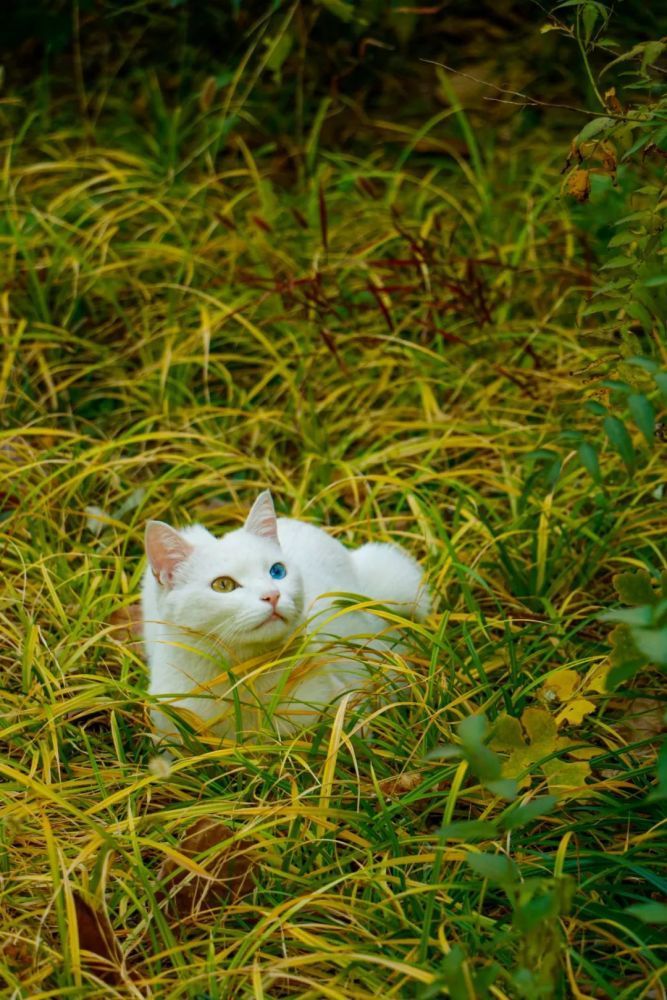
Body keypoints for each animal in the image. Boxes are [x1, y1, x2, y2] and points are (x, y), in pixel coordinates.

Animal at [143, 492, 430, 744]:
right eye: (223, 585)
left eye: (277, 571)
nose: (272, 595)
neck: (247, 679)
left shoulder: (346, 704)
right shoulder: (170, 728)